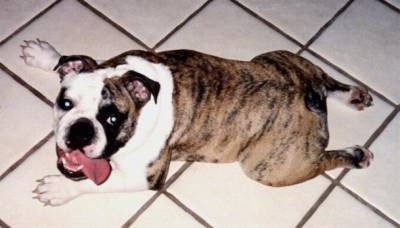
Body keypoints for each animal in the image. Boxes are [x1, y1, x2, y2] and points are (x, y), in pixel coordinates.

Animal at [19, 39, 376, 207]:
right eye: (65, 103)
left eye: (112, 118)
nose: (80, 131)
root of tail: (308, 97)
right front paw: (46, 56)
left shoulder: (144, 177)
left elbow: (97, 183)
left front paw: (60, 189)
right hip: (279, 58)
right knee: (324, 78)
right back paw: (353, 94)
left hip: (270, 168)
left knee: (324, 159)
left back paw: (357, 154)